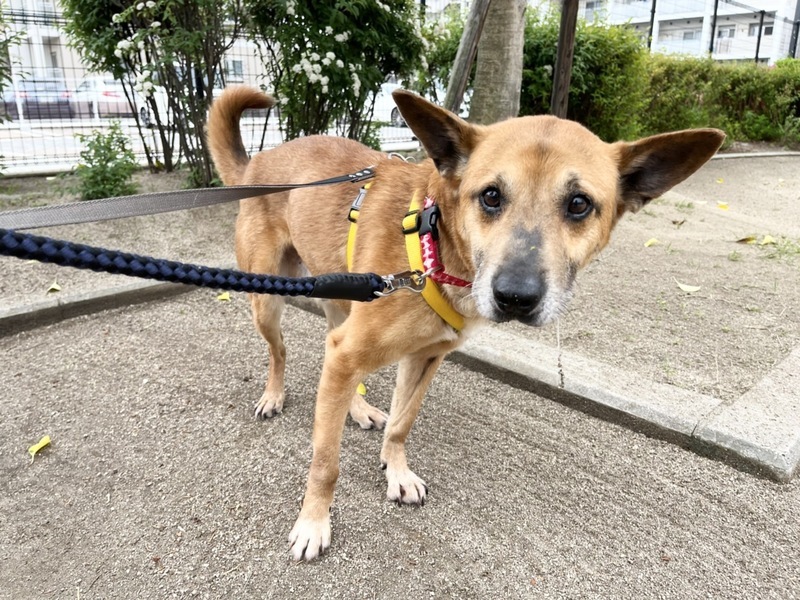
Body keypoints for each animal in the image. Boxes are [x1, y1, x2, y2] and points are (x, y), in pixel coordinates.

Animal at [208, 86, 724, 561]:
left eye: (579, 204)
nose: (515, 297)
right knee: (280, 351)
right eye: (491, 196)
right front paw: (314, 523)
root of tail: (258, 164)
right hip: (268, 302)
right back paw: (274, 396)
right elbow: (325, 462)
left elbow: (402, 423)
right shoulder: (354, 352)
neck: (437, 247)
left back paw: (357, 409)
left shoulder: (424, 357)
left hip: (343, 301)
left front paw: (395, 471)